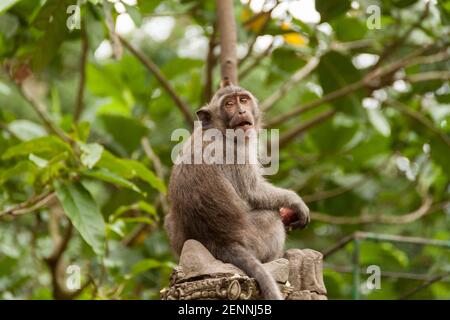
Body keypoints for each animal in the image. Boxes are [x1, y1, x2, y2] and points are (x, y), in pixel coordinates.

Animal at [165, 84, 310, 298]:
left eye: (243, 100)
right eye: (229, 104)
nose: (241, 111)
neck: (217, 129)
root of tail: (222, 243)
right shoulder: (235, 151)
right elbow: (253, 192)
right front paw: (295, 202)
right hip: (255, 241)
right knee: (271, 216)